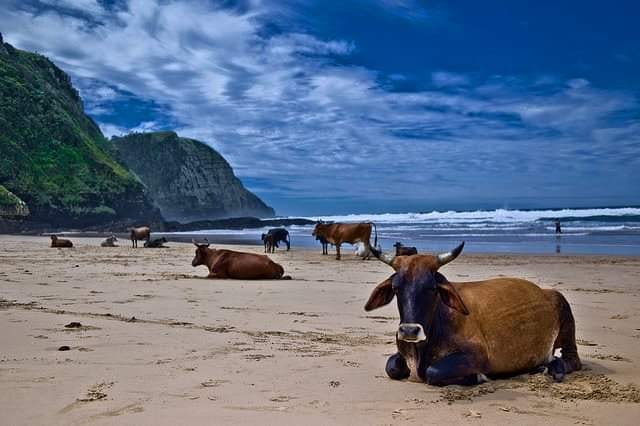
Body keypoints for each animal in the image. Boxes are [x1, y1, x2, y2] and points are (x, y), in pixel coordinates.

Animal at [365, 242, 581, 386]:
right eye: (396, 288)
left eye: (432, 288)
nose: (409, 331)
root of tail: (544, 291)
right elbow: (391, 366)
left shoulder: (479, 354)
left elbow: (434, 372)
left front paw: (477, 376)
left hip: (563, 308)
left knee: (572, 359)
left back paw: (554, 367)